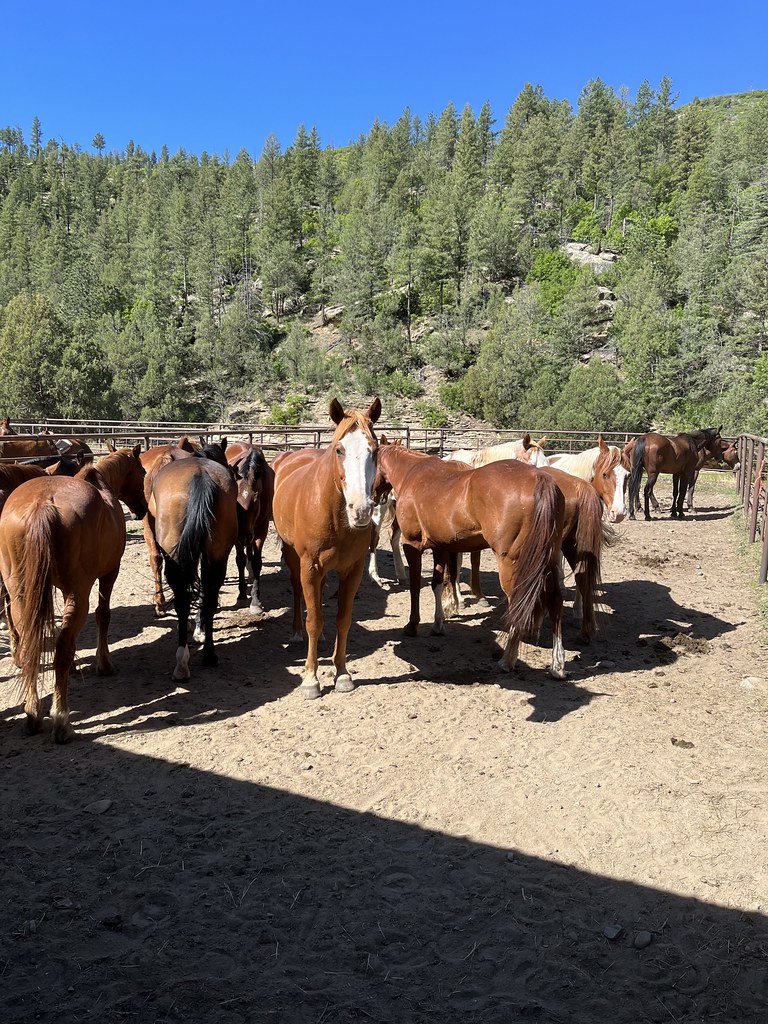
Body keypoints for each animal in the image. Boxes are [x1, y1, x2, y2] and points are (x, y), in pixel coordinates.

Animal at [0, 446, 147, 742]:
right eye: (143, 472)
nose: (143, 509)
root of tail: (42, 504)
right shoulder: (110, 573)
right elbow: (103, 615)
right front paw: (104, 663)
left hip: (20, 592)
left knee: (29, 640)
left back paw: (33, 714)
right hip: (78, 592)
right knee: (62, 649)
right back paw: (61, 720)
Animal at [149, 451, 238, 681]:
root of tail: (201, 477)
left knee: (182, 602)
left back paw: (181, 663)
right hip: (217, 556)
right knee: (209, 598)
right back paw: (209, 654)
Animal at [226, 443, 274, 616]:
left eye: (256, 498)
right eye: (234, 499)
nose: (245, 536)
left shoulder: (261, 528)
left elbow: (257, 562)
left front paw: (255, 600)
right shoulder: (237, 533)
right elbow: (239, 560)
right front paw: (241, 594)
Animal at [271, 397, 381, 699]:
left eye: (375, 450)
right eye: (339, 450)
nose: (361, 510)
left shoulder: (352, 570)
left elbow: (342, 619)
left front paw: (342, 673)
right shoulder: (309, 566)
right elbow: (314, 620)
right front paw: (310, 679)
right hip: (293, 556)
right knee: (299, 593)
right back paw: (297, 632)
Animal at [374, 442, 566, 678]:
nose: (374, 498)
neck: (412, 473)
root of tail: (539, 479)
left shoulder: (413, 545)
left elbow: (416, 587)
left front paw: (412, 625)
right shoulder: (440, 547)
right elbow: (438, 585)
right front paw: (439, 623)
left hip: (514, 564)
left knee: (518, 604)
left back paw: (507, 660)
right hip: (548, 559)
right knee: (555, 600)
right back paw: (557, 665)